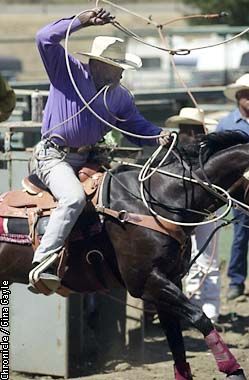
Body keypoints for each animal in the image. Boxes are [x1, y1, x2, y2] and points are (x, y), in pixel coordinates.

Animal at [0, 131, 249, 380]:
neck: (160, 200)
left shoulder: (169, 281)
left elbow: (176, 341)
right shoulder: (147, 281)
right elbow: (200, 317)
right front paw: (233, 370)